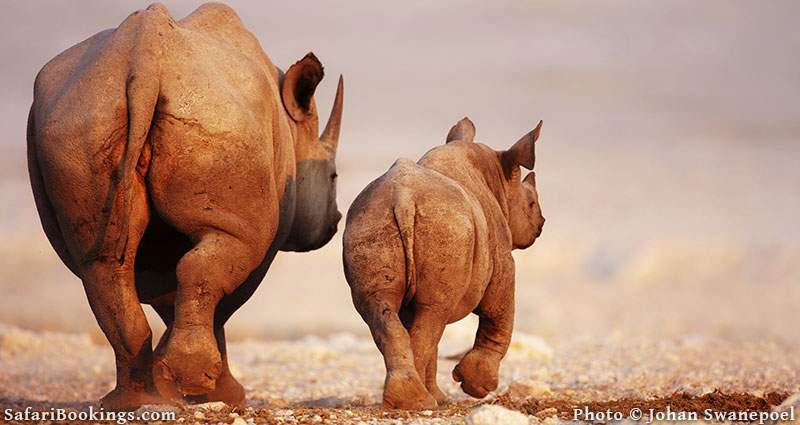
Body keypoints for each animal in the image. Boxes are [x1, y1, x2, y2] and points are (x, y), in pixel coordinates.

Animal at [25, 2, 342, 408]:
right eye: (333, 177)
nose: (334, 221)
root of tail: (143, 60)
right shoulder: (263, 231)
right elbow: (224, 300)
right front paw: (220, 394)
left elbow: (168, 294)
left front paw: (175, 383)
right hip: (216, 118)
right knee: (210, 259)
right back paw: (184, 389)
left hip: (77, 120)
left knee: (102, 266)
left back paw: (133, 401)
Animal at [342, 117, 544, 410]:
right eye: (530, 204)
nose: (541, 223)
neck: (498, 180)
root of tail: (403, 199)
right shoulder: (502, 259)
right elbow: (498, 313)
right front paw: (475, 386)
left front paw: (441, 397)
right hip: (445, 227)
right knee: (433, 314)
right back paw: (420, 402)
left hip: (370, 222)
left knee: (388, 311)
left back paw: (411, 401)